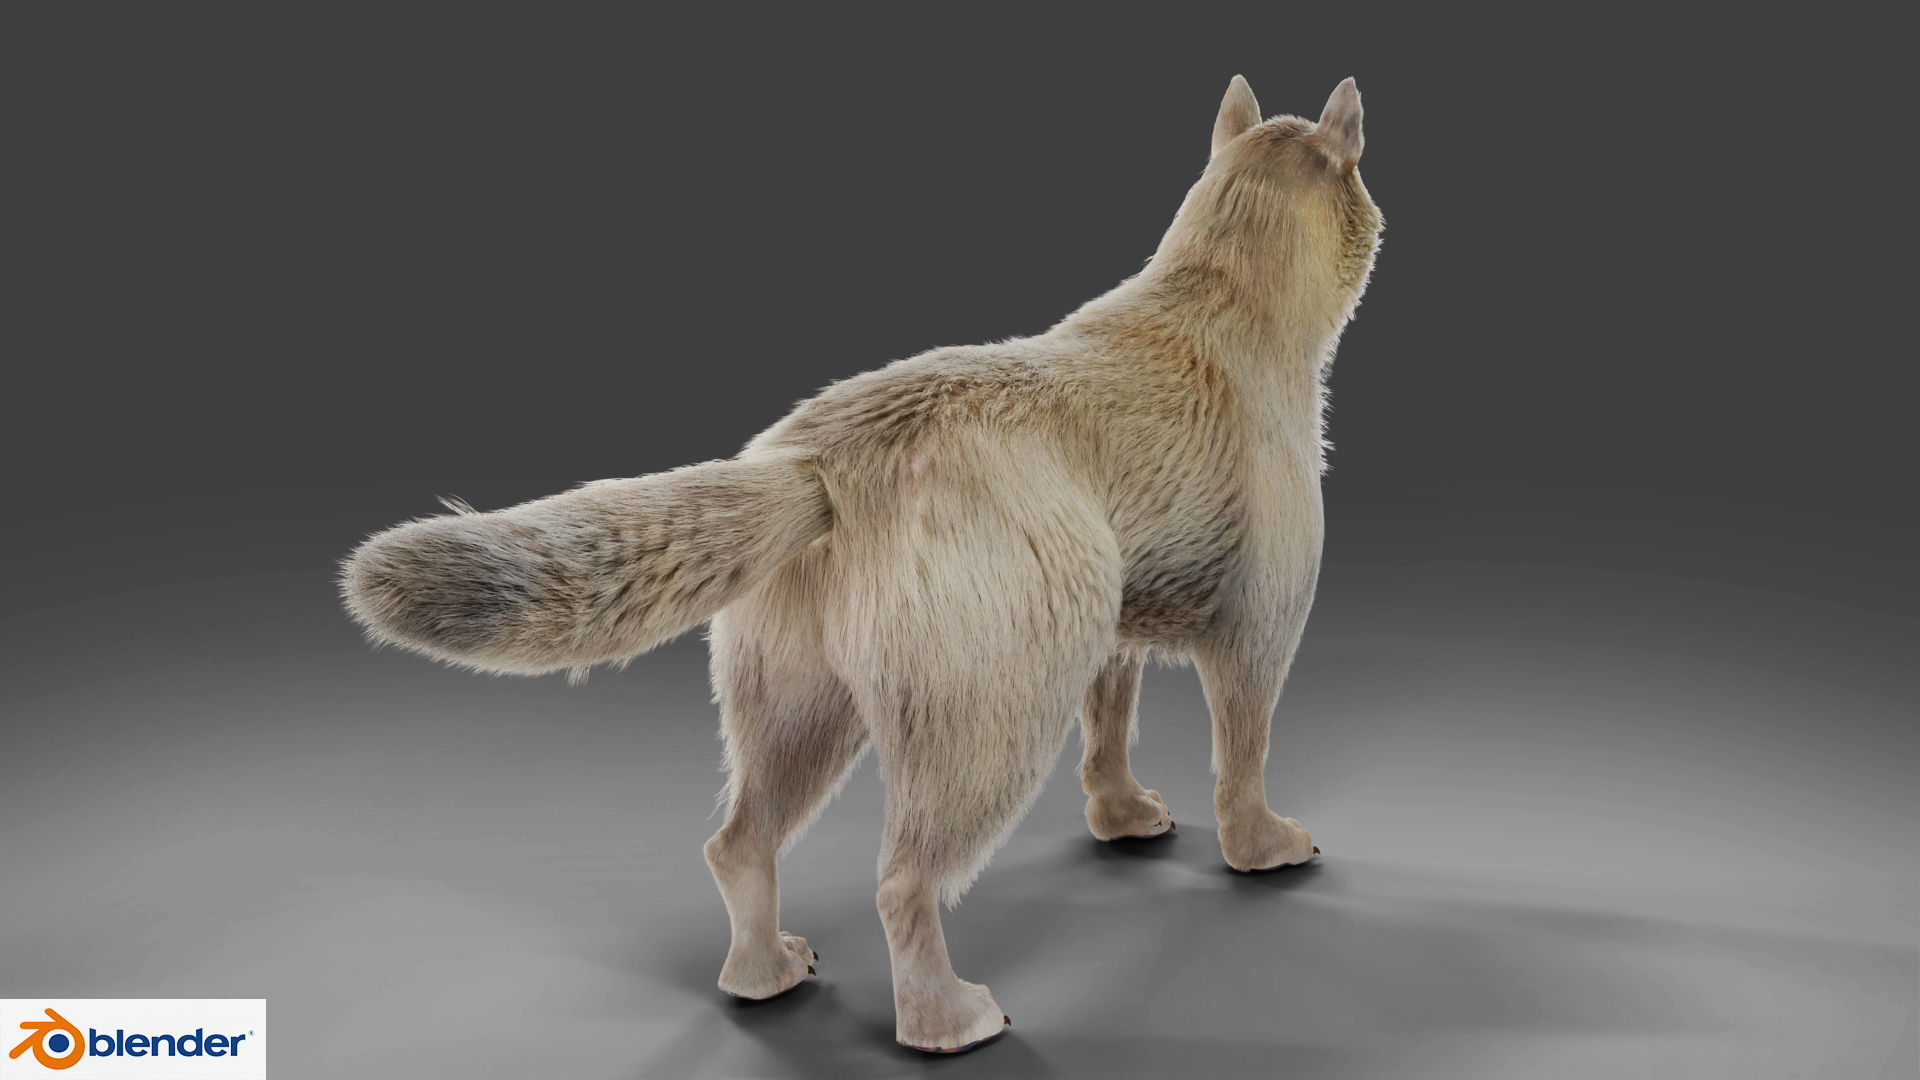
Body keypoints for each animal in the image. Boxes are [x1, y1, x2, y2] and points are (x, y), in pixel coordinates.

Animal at [340, 74, 1381, 1053]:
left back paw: (762, 971)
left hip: (800, 701)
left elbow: (1112, 726)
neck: (1224, 288)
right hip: (991, 708)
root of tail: (824, 459)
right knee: (903, 882)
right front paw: (1261, 843)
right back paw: (945, 1018)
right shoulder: (1258, 625)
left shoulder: (1117, 625)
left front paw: (1123, 814)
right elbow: (1243, 745)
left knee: (740, 842)